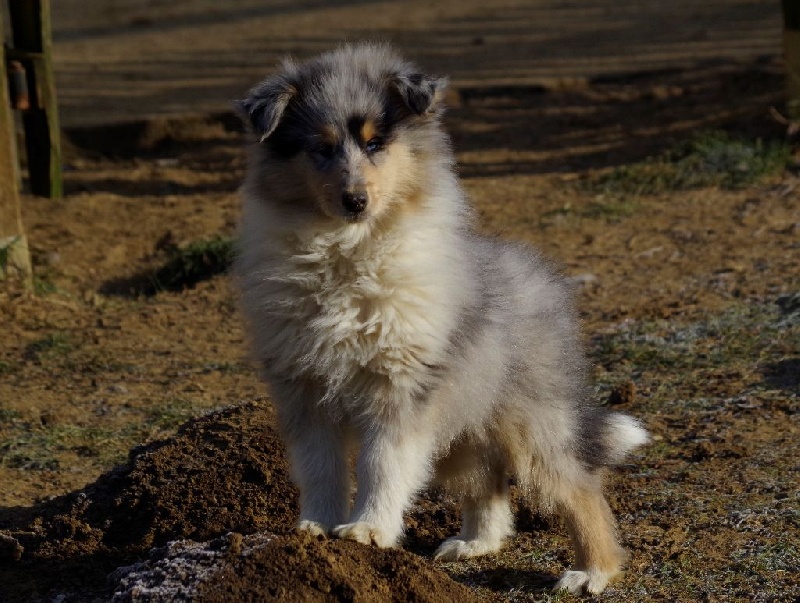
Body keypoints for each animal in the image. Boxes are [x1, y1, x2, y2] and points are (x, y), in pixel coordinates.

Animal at [234, 44, 648, 596]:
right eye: (320, 148)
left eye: (376, 143)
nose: (355, 201)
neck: (347, 253)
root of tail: (540, 274)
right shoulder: (304, 387)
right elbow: (320, 466)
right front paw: (315, 529)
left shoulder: (399, 387)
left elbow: (382, 464)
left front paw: (366, 530)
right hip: (460, 423)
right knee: (487, 485)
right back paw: (475, 543)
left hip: (530, 419)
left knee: (579, 486)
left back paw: (592, 572)